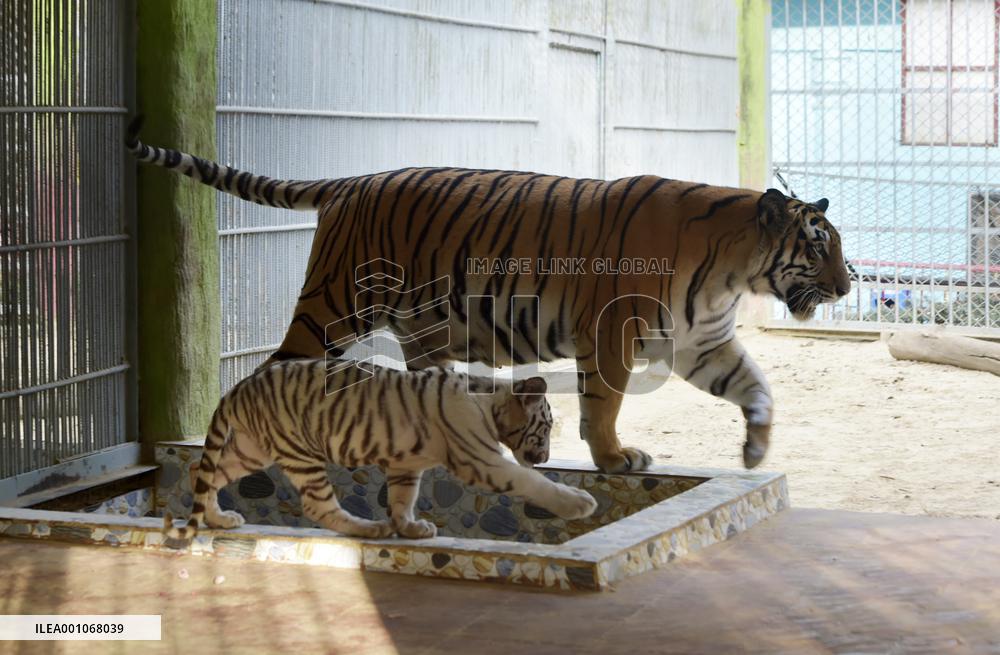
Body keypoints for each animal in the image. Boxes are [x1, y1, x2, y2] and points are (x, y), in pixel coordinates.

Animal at [128, 117, 851, 474]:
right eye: (819, 247)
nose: (848, 285)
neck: (735, 269)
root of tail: (349, 181)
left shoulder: (703, 343)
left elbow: (755, 386)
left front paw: (755, 449)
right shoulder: (612, 332)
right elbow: (605, 404)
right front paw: (615, 458)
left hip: (424, 331)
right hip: (335, 307)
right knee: (279, 367)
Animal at [163, 359, 597, 540]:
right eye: (546, 428)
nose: (545, 457)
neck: (490, 402)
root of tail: (238, 386)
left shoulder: (406, 465)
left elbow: (404, 498)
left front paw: (411, 528)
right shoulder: (482, 460)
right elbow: (531, 482)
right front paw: (579, 503)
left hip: (252, 450)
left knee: (201, 472)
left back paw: (219, 519)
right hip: (299, 451)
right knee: (318, 506)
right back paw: (369, 528)